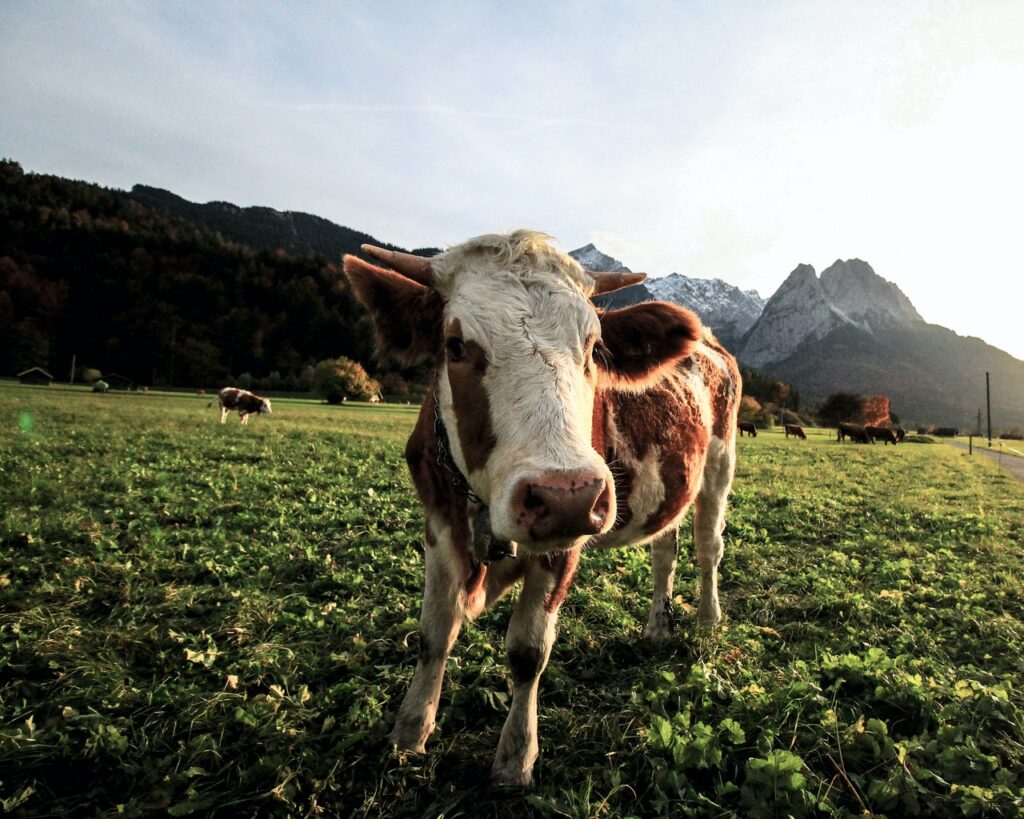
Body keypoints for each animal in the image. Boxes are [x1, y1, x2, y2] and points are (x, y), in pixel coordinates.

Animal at [342, 231, 740, 788]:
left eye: (595, 347)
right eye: (455, 346)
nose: (564, 495)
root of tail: (709, 342)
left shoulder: (565, 540)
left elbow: (528, 651)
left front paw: (515, 758)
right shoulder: (438, 523)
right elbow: (433, 633)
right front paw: (410, 731)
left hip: (719, 466)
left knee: (708, 550)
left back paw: (706, 620)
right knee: (666, 549)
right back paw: (658, 627)